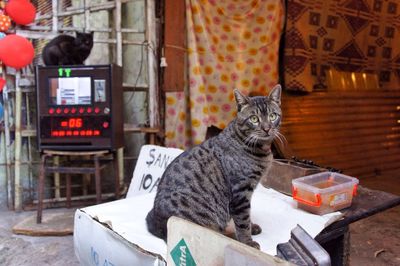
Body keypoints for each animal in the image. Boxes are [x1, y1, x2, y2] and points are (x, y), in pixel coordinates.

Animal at [146, 85, 282, 249]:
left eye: (273, 116)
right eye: (254, 119)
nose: (267, 128)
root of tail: (155, 220)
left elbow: (246, 218)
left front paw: (252, 227)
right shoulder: (240, 192)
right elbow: (243, 221)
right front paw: (247, 242)